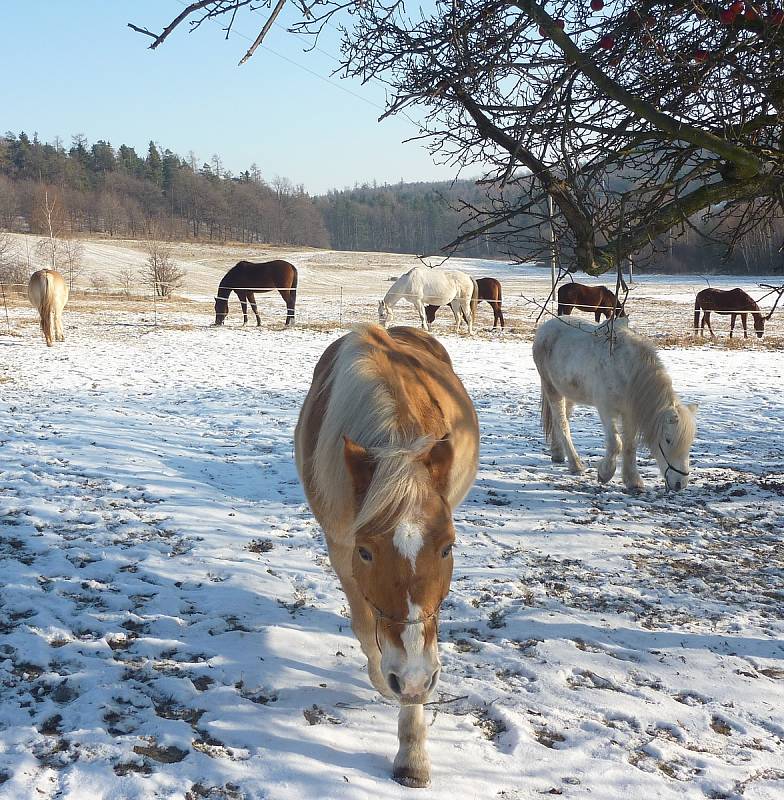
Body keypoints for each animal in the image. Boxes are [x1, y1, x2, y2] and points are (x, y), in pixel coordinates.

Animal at [294, 324, 478, 788]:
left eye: (448, 547)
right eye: (366, 552)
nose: (409, 678)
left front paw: (412, 755)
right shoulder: (340, 547)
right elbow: (366, 627)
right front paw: (383, 677)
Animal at [532, 316, 700, 490]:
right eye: (668, 439)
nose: (680, 483)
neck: (627, 370)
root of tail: (546, 326)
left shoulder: (629, 413)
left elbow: (630, 445)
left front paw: (633, 480)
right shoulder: (606, 410)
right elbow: (616, 443)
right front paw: (604, 474)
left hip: (569, 395)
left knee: (560, 421)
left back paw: (558, 454)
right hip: (552, 390)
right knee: (562, 423)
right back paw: (575, 465)